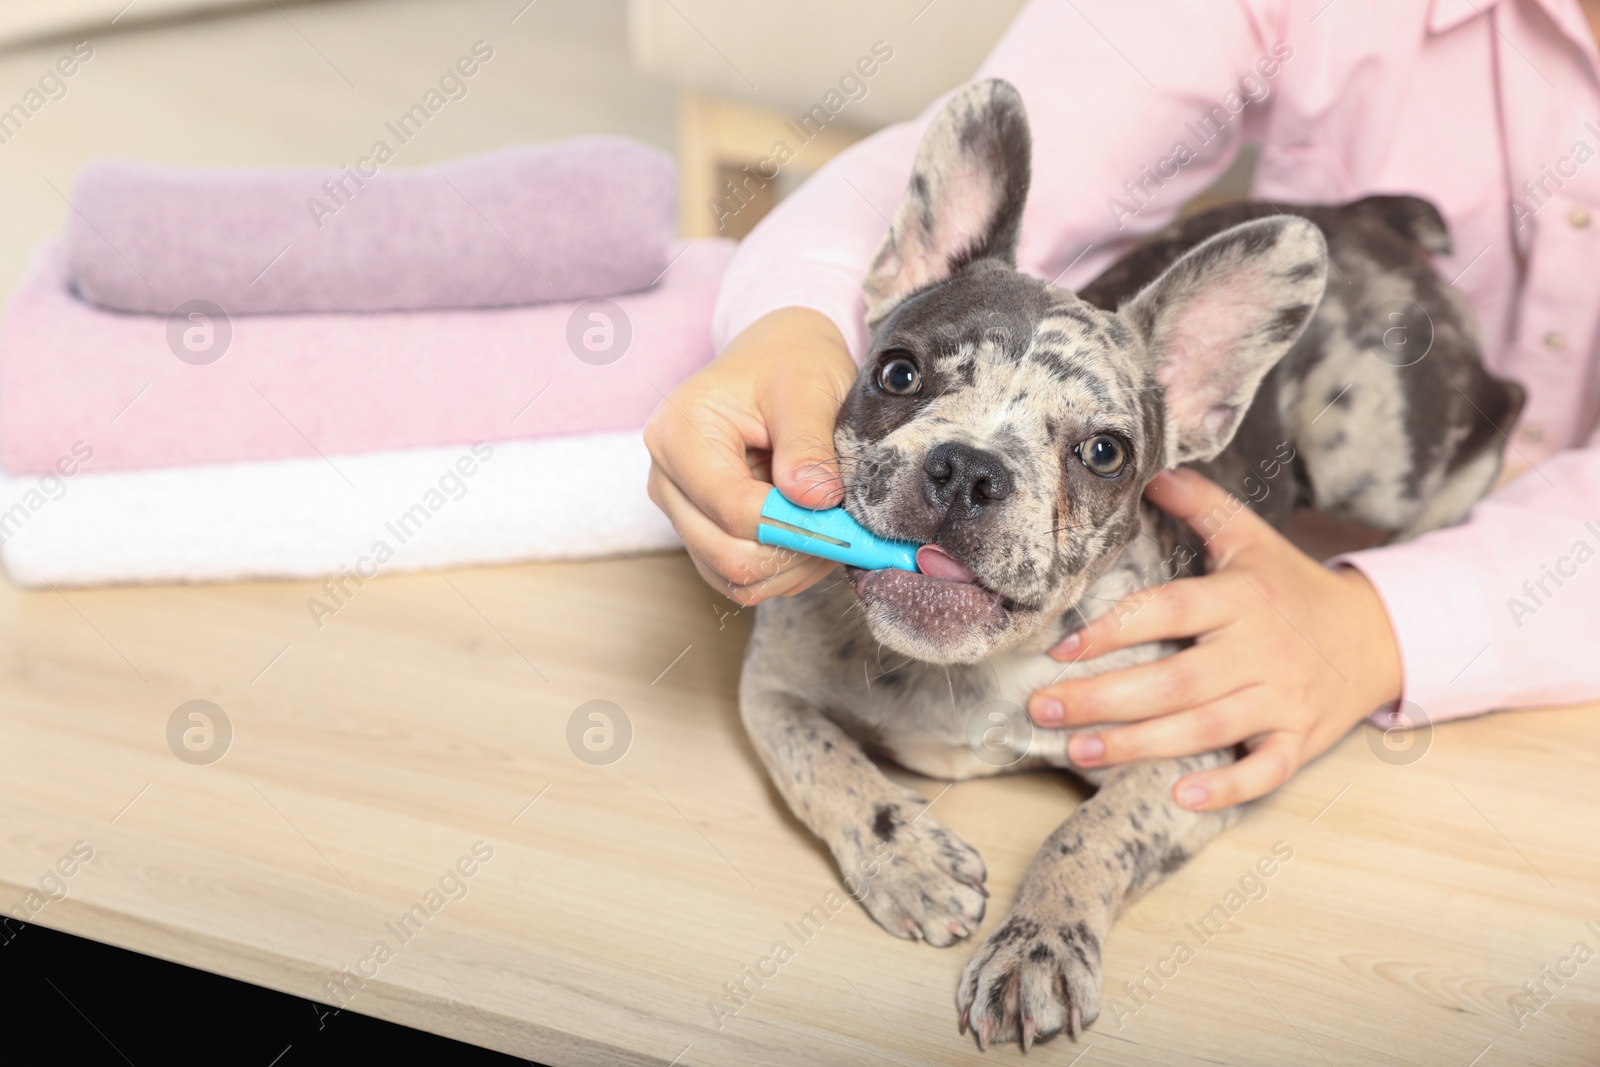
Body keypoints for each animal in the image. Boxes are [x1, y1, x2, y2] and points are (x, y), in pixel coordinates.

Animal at [736, 79, 1523, 1049]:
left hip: (1376, 451)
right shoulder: (772, 685)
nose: (969, 468)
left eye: (1104, 452)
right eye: (897, 373)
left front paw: (1037, 945)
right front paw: (906, 855)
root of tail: (1362, 217)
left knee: (1499, 409)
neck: (970, 672)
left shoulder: (1188, 761)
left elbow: (1091, 831)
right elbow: (820, 760)